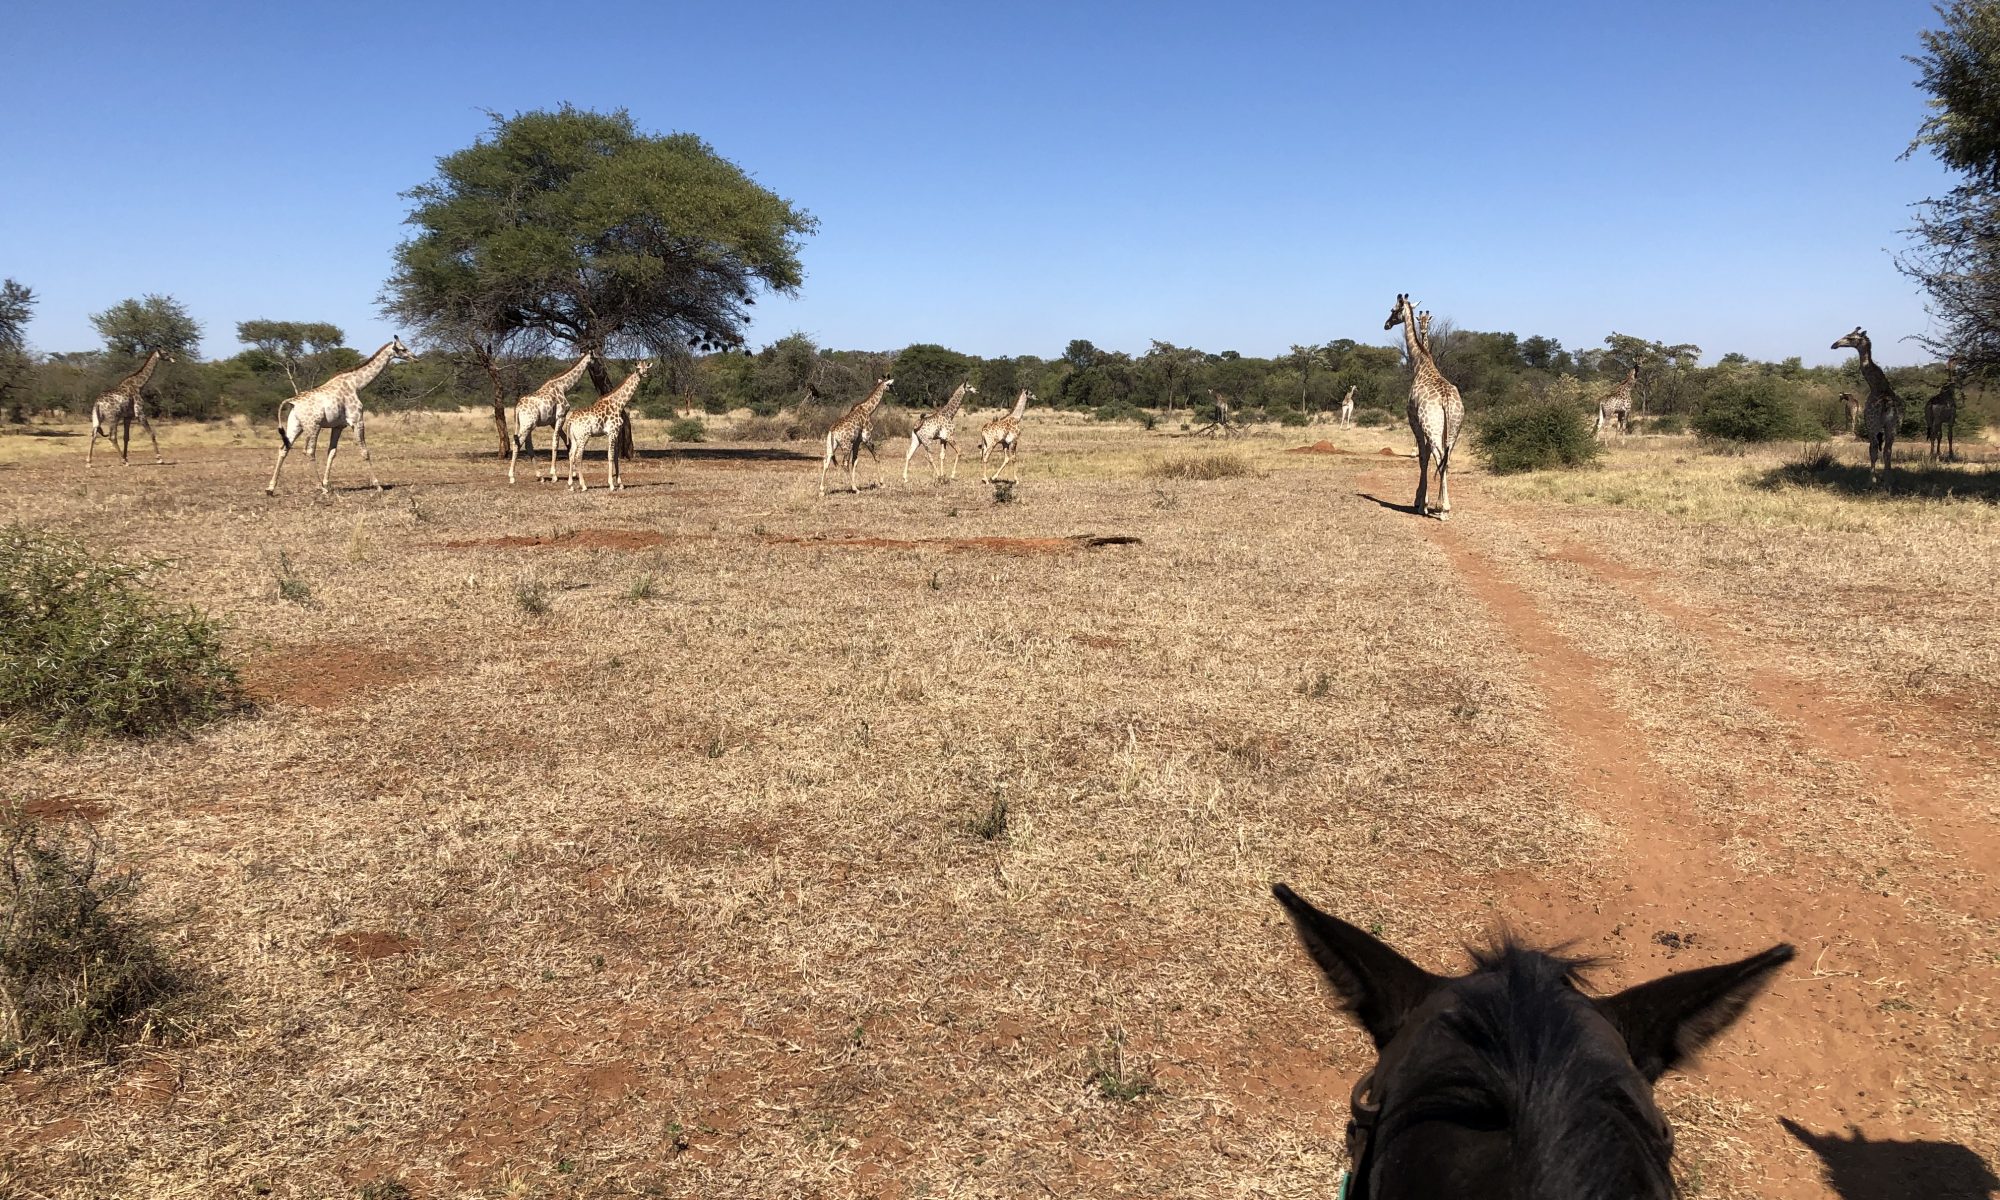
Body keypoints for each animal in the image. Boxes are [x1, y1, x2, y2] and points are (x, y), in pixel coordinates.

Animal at [265, 338, 415, 495]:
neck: (356, 385)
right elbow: (365, 452)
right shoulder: (357, 420)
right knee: (309, 451)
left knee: (284, 449)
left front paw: (327, 483)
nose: (415, 358)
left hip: (295, 426)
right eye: (403, 349)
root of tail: (292, 402)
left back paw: (270, 488)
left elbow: (332, 452)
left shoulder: (338, 426)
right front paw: (378, 486)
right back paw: (320, 488)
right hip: (313, 426)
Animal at [508, 351, 594, 484]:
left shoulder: (553, 421)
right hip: (527, 425)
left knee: (528, 446)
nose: (595, 366)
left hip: (527, 425)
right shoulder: (561, 416)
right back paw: (512, 476)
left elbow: (567, 441)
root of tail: (517, 408)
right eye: (594, 356)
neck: (563, 387)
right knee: (517, 443)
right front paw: (554, 474)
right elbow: (556, 442)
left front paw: (573, 473)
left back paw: (540, 476)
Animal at [563, 360, 652, 492]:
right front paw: (611, 484)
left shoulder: (616, 433)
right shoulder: (612, 432)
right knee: (578, 456)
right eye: (638, 368)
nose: (645, 373)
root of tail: (570, 421)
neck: (618, 403)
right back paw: (583, 485)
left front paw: (620, 483)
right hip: (584, 436)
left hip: (575, 438)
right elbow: (610, 456)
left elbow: (615, 456)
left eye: (646, 367)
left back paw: (570, 485)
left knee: (571, 455)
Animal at [1384, 293, 1465, 518]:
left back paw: (1442, 508)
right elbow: (1427, 458)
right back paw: (1444, 506)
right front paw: (1423, 501)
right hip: (1453, 429)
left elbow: (1423, 458)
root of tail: (1446, 399)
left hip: (1432, 427)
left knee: (1438, 457)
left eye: (1393, 310)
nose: (1386, 324)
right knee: (1447, 458)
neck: (1420, 363)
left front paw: (1422, 503)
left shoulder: (1415, 422)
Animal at [1831, 327, 1901, 483]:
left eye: (1850, 337)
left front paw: (1873, 478)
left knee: (1873, 448)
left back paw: (1872, 479)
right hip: (1892, 426)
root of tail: (1886, 405)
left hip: (1873, 424)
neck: (1877, 385)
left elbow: (1872, 449)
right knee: (1888, 449)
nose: (1834, 345)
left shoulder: (1869, 423)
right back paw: (1888, 479)